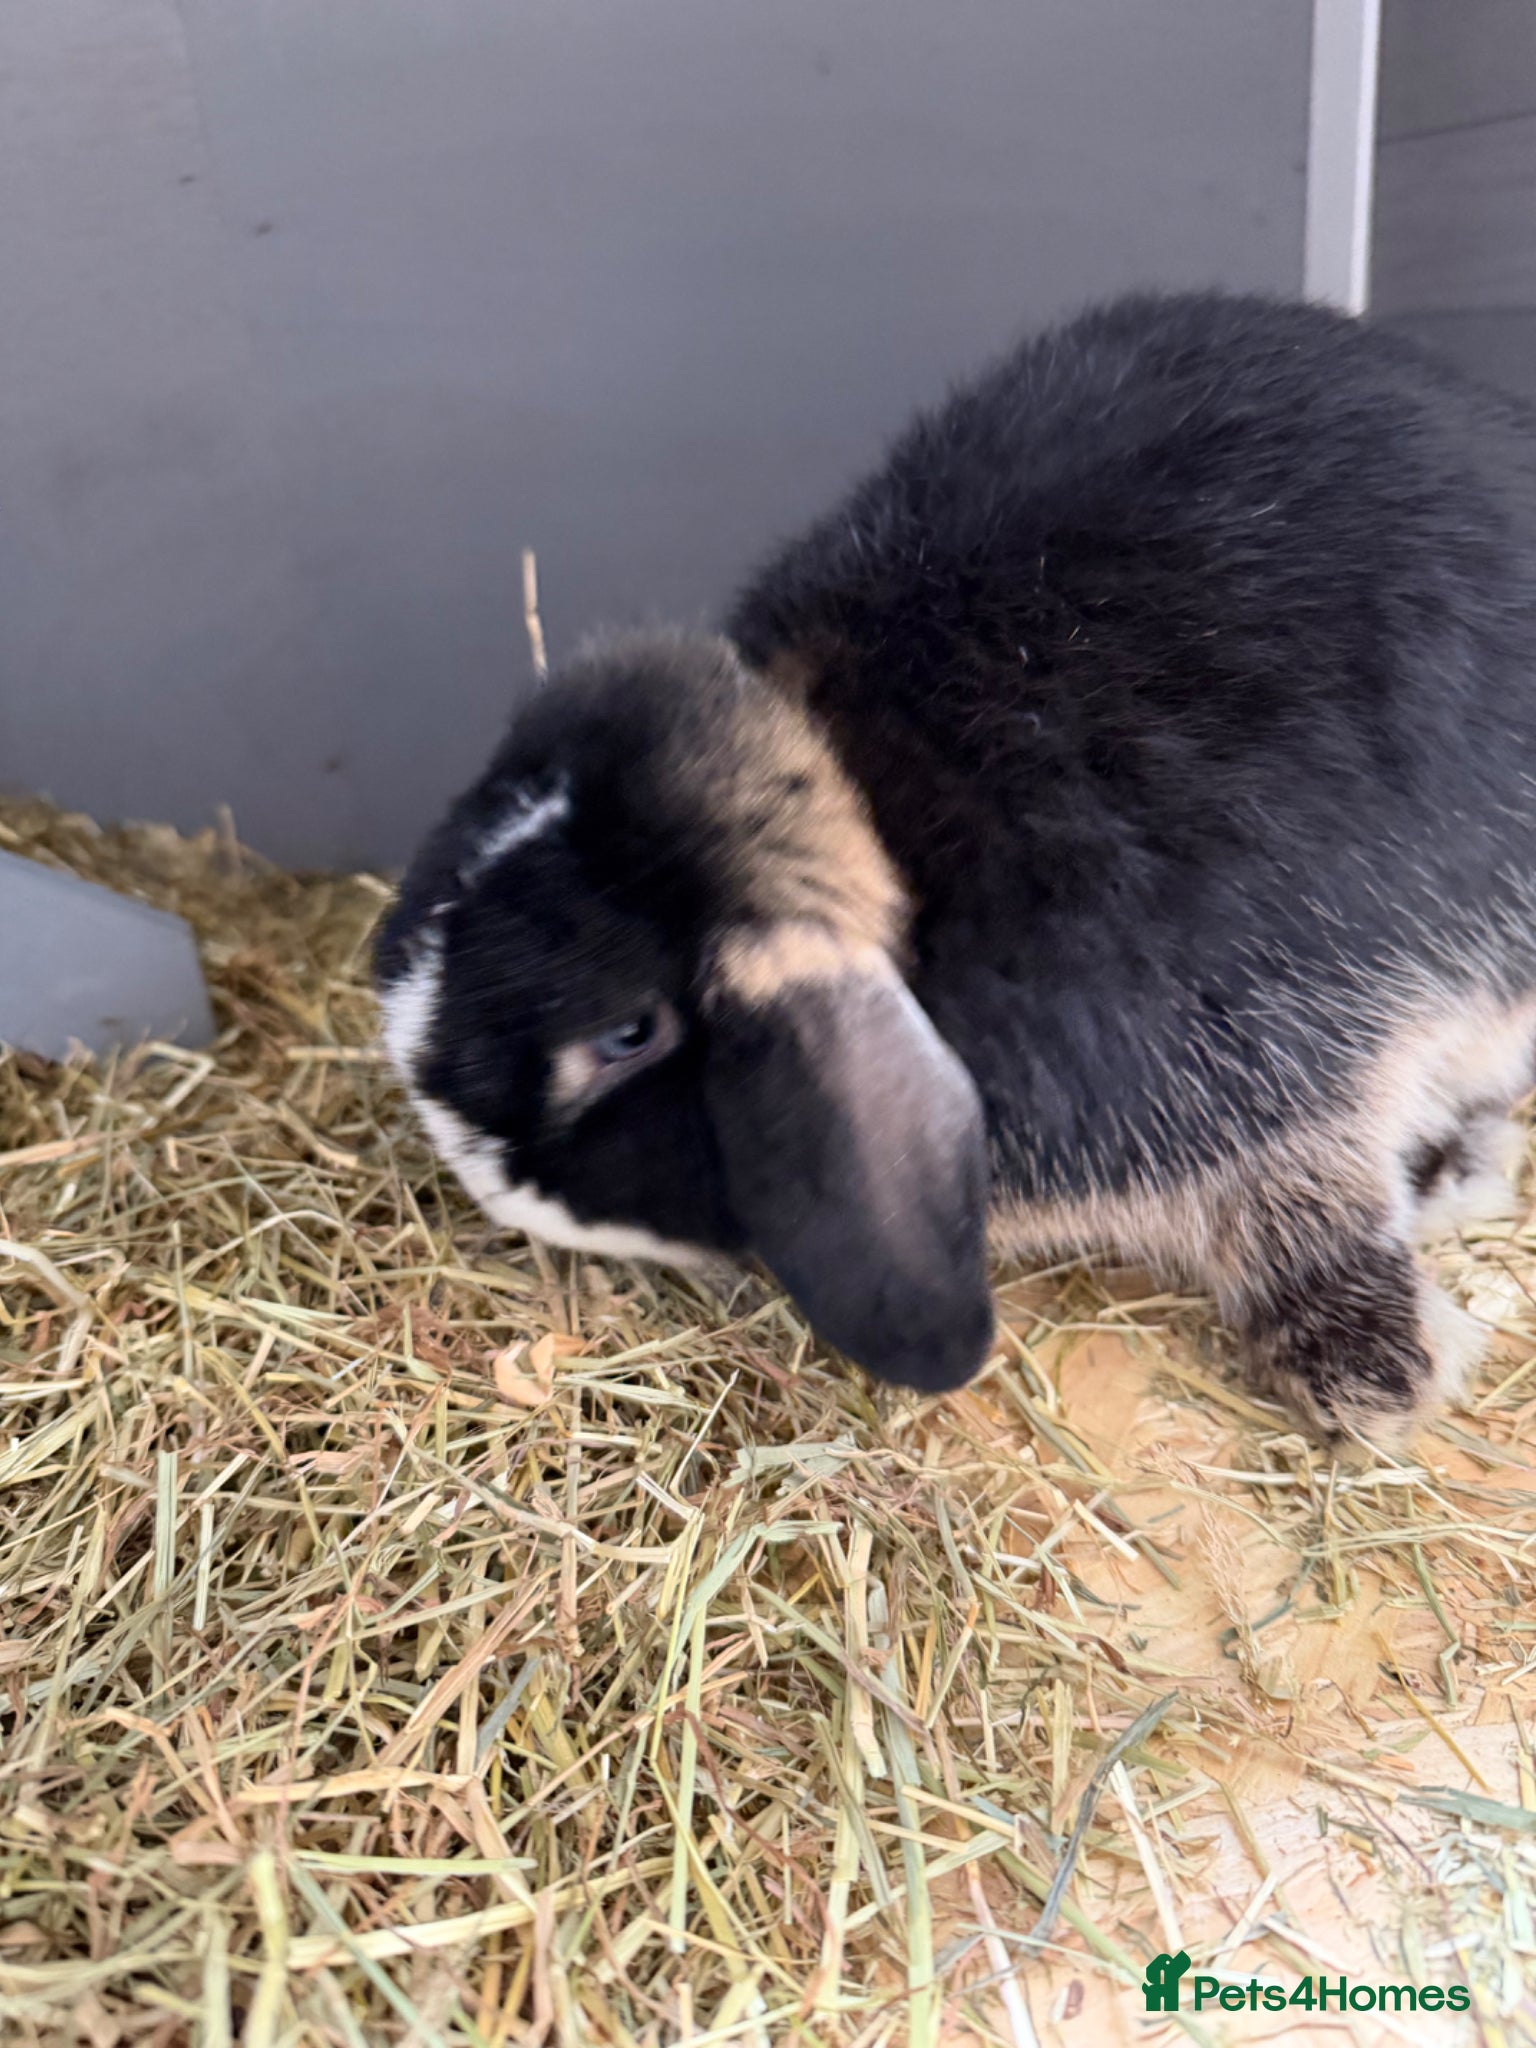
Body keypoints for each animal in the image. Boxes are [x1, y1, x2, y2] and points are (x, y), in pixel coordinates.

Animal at [376, 289, 1536, 1446]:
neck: (884, 822)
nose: (465, 1163)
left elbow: (1308, 1208)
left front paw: (1380, 1374)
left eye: (625, 1036)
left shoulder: (1275, 1078)